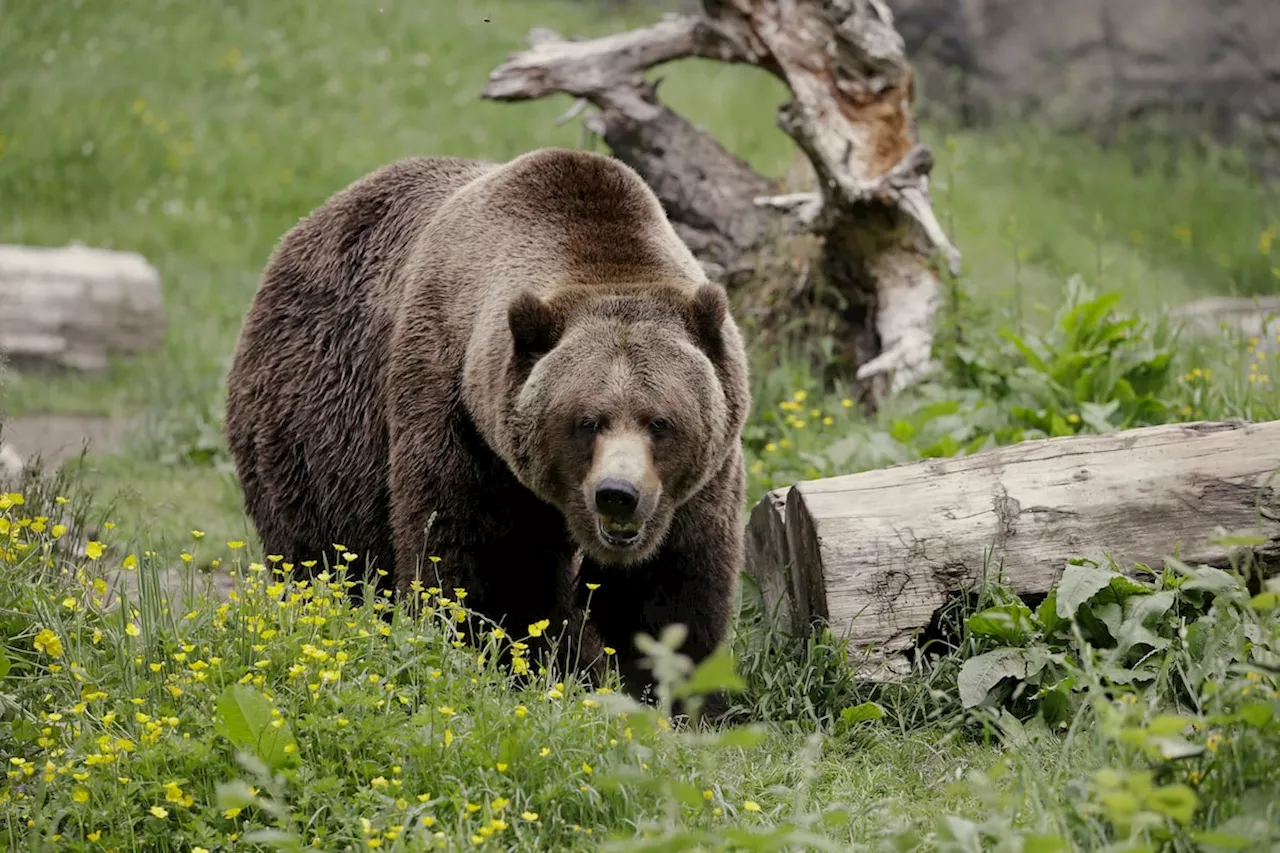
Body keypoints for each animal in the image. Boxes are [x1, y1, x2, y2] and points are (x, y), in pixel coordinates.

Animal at [226, 146, 752, 701]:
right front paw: (508, 664)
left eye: (660, 422)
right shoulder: (460, 420)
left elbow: (671, 589)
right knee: (322, 554)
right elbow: (484, 566)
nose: (617, 494)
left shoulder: (698, 482)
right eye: (587, 421)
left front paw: (673, 690)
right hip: (316, 428)